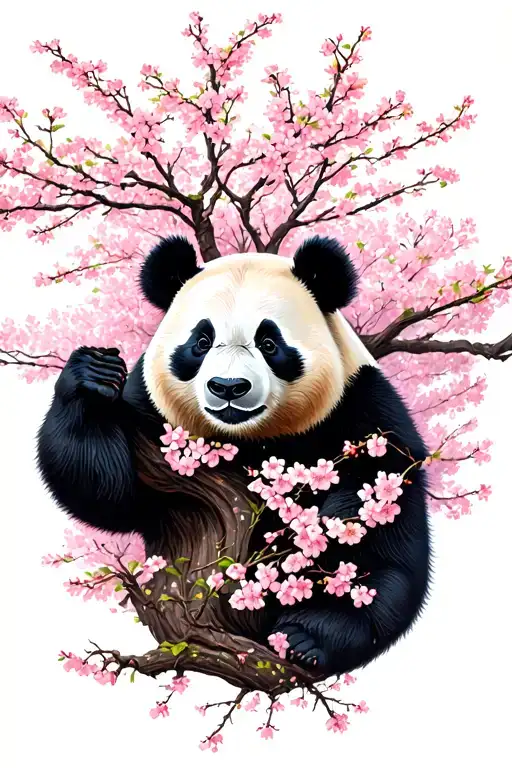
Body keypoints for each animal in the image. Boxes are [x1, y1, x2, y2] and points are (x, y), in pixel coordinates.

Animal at [37, 235, 431, 676]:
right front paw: (94, 374)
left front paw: (320, 531)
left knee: (379, 579)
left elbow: (377, 505)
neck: (250, 439)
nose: (228, 386)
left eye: (270, 343)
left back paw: (305, 638)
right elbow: (109, 492)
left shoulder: (361, 407)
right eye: (201, 342)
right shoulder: (152, 422)